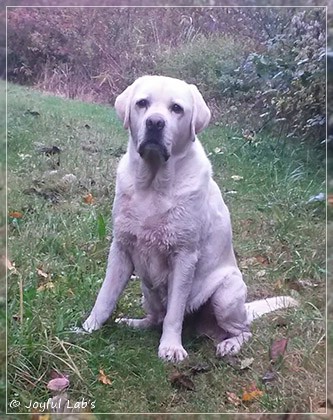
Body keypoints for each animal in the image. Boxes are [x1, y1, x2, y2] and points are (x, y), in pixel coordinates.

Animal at [82, 74, 296, 360]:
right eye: (142, 103)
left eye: (176, 108)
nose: (155, 122)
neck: (153, 185)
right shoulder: (121, 247)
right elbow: (105, 296)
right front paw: (88, 328)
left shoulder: (184, 256)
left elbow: (175, 312)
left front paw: (171, 347)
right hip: (147, 289)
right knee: (156, 317)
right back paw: (134, 323)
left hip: (225, 295)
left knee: (243, 331)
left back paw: (229, 344)